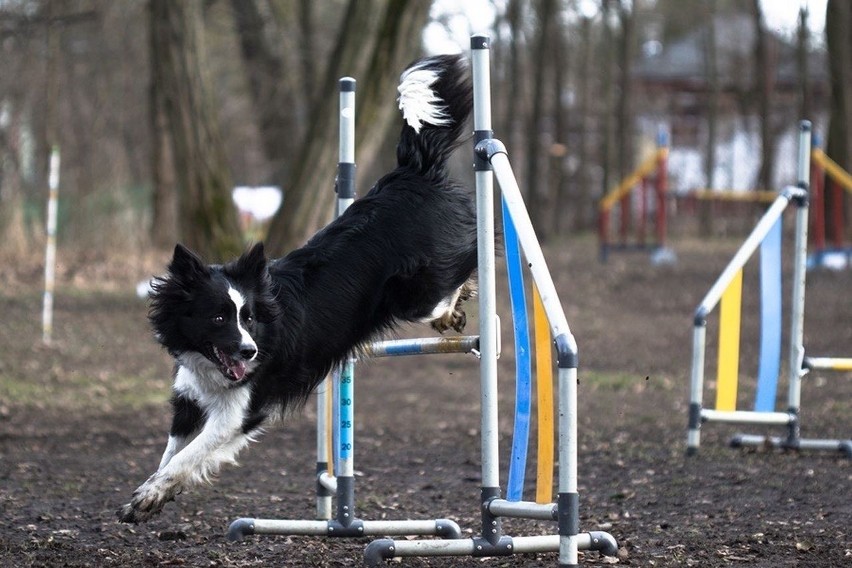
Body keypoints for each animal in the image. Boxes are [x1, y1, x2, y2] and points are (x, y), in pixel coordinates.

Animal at [118, 55, 480, 520]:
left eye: (249, 317)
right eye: (218, 317)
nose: (249, 351)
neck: (208, 361)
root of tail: (412, 173)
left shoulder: (240, 410)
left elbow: (189, 454)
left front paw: (150, 494)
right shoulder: (189, 399)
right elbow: (171, 453)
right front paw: (155, 494)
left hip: (417, 294)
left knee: (459, 272)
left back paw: (458, 304)